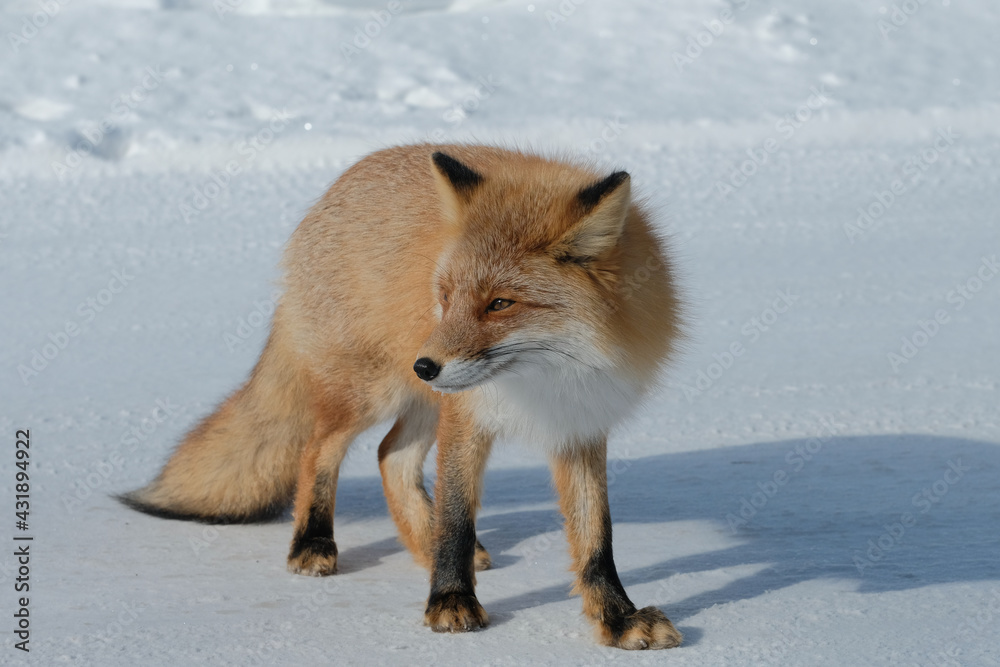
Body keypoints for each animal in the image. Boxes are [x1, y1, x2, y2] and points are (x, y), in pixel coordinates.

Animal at [121, 144, 683, 650]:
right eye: (446, 296)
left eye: (500, 303)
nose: (425, 364)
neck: (551, 379)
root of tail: (340, 184)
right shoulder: (467, 416)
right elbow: (456, 518)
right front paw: (451, 601)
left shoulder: (579, 427)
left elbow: (595, 539)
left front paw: (617, 617)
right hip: (374, 393)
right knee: (318, 449)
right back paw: (313, 542)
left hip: (423, 400)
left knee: (389, 455)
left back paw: (421, 544)